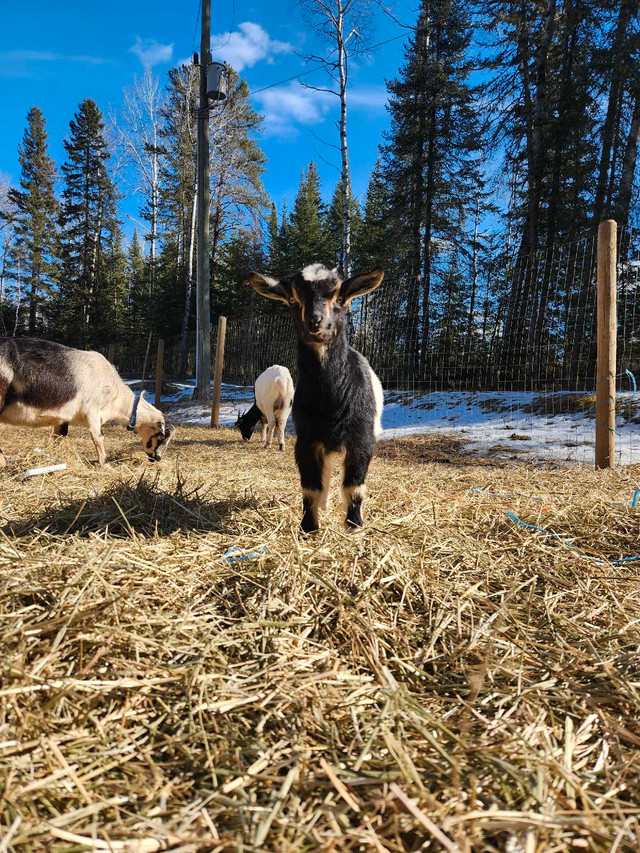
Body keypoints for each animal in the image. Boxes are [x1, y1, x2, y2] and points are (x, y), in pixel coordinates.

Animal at [0, 336, 175, 466]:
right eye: (162, 437)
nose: (157, 458)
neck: (115, 395)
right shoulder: (92, 412)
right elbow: (98, 437)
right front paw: (105, 465)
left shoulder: (63, 416)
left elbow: (59, 436)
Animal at [245, 262, 384, 532]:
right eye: (292, 298)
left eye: (339, 298)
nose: (315, 321)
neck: (333, 397)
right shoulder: (307, 438)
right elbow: (311, 487)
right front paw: (309, 526)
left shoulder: (361, 436)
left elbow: (354, 486)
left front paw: (354, 524)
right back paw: (324, 506)